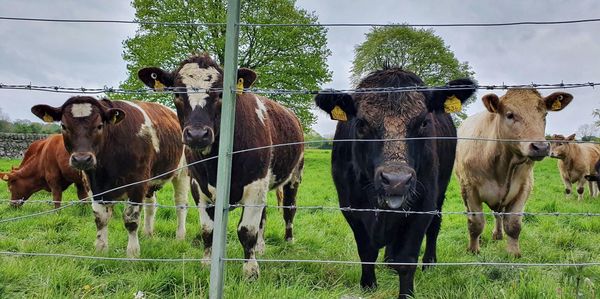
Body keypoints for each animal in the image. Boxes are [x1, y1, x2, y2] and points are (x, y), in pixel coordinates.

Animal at [31, 96, 190, 258]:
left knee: (180, 204)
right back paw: (148, 234)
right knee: (151, 205)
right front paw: (101, 249)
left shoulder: (137, 184)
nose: (82, 159)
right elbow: (100, 218)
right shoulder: (93, 186)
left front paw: (133, 253)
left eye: (100, 126)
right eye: (63, 126)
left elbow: (131, 220)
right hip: (151, 181)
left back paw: (180, 237)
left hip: (183, 172)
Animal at [314, 68, 474, 299]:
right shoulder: (350, 207)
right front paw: (368, 285)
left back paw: (429, 262)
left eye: (424, 122)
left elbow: (407, 260)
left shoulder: (422, 205)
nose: (396, 181)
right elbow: (366, 251)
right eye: (361, 123)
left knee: (435, 225)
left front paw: (406, 294)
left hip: (440, 191)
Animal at [458, 89, 576, 258]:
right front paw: (473, 250)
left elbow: (513, 224)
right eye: (510, 115)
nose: (540, 147)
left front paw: (513, 253)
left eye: (545, 114)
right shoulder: (469, 188)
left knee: (498, 214)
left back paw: (498, 235)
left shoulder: (524, 188)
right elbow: (476, 223)